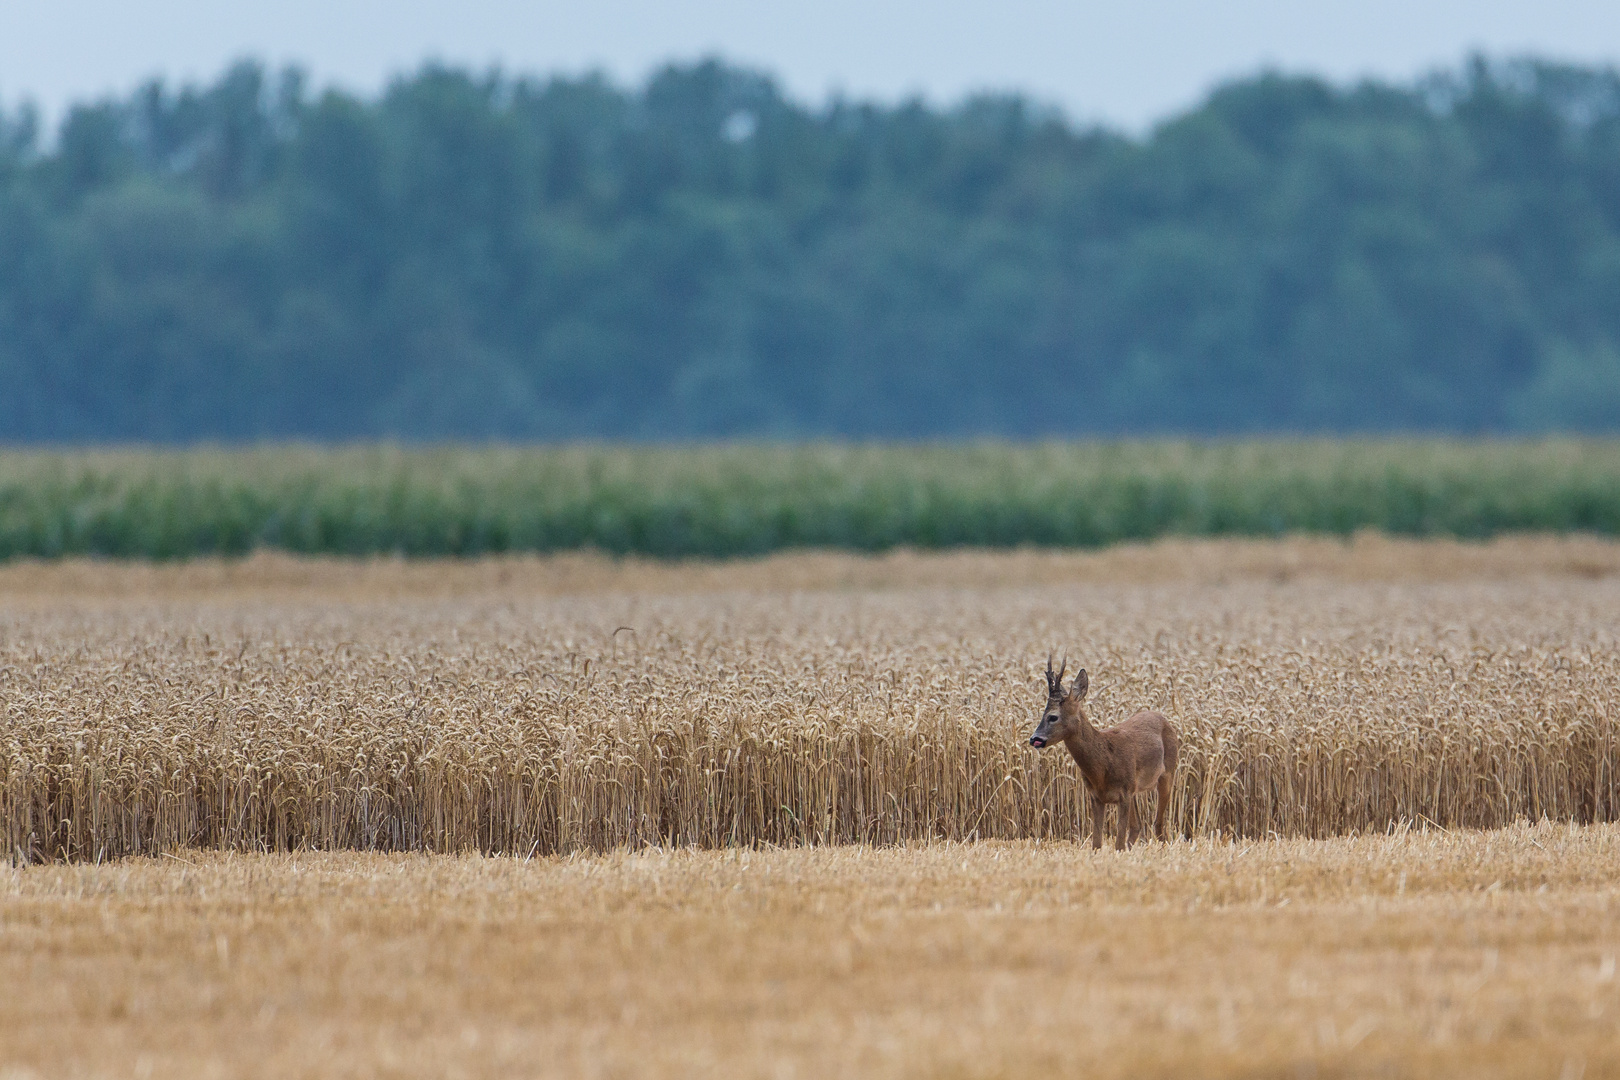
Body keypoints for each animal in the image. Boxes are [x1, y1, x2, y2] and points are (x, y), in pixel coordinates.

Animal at [1036, 654, 1179, 848]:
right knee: (1138, 826)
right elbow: (1096, 843)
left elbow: (1118, 843)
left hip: (1167, 774)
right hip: (1136, 789)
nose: (1034, 738)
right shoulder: (1096, 796)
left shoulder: (1124, 793)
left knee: (1158, 825)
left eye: (1053, 717)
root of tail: (1164, 719)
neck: (1103, 764)